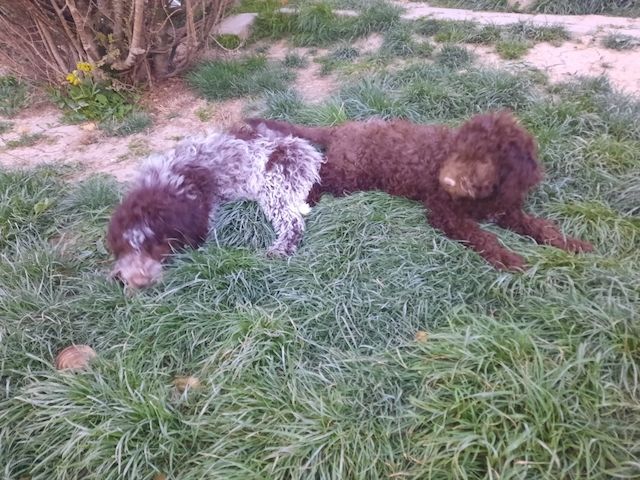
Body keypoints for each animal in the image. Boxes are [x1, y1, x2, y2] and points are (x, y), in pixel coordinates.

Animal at [108, 124, 324, 288]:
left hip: (275, 185)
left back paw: (280, 249)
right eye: (124, 247)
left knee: (293, 223)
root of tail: (308, 151)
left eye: (155, 246)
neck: (162, 187)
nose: (140, 283)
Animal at [245, 111, 592, 272]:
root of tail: (341, 128)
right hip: (350, 173)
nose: (447, 181)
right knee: (319, 177)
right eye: (458, 151)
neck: (487, 195)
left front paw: (573, 245)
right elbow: (482, 236)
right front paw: (508, 258)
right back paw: (307, 200)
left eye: (484, 159)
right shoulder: (443, 211)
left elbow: (541, 227)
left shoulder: (508, 208)